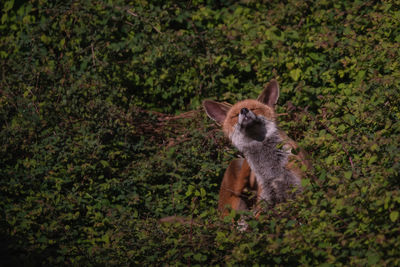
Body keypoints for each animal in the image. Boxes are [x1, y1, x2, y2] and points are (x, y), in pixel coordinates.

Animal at [203, 79, 310, 218]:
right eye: (234, 115)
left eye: (254, 108)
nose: (243, 110)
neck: (271, 170)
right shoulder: (264, 199)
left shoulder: (300, 189)